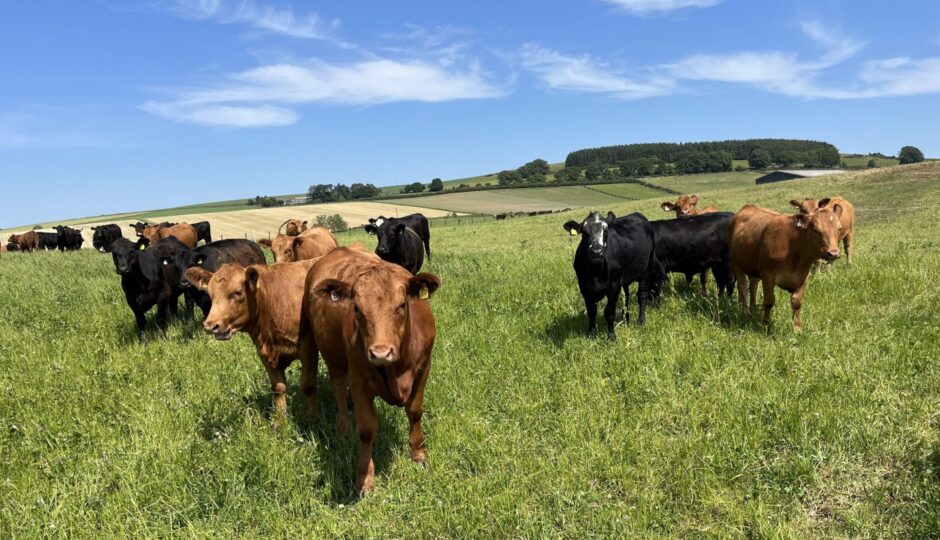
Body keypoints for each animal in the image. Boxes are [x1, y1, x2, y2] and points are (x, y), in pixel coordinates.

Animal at [184, 260, 320, 416]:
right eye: (210, 294)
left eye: (237, 292)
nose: (210, 325)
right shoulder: (263, 353)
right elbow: (278, 388)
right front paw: (280, 418)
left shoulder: (308, 347)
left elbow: (308, 385)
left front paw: (313, 416)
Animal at [300, 247, 442, 496]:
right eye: (357, 309)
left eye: (402, 305)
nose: (380, 352)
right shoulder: (359, 378)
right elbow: (366, 429)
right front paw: (365, 478)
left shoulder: (424, 366)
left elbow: (415, 411)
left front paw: (419, 454)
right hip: (321, 345)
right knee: (337, 386)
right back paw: (343, 428)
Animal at [564, 210, 660, 338]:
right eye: (584, 232)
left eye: (606, 231)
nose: (597, 251)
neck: (596, 271)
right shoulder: (584, 287)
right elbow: (591, 311)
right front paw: (592, 334)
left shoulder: (614, 286)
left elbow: (609, 312)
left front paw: (611, 336)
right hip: (624, 279)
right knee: (626, 297)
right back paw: (625, 320)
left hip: (646, 269)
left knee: (642, 295)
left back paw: (640, 321)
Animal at [728, 202, 844, 330]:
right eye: (815, 230)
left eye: (839, 228)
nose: (833, 253)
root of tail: (748, 206)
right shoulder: (768, 275)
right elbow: (769, 301)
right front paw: (766, 325)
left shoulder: (803, 277)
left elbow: (797, 302)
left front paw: (797, 327)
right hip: (736, 263)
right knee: (742, 288)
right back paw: (746, 312)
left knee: (753, 286)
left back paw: (753, 307)